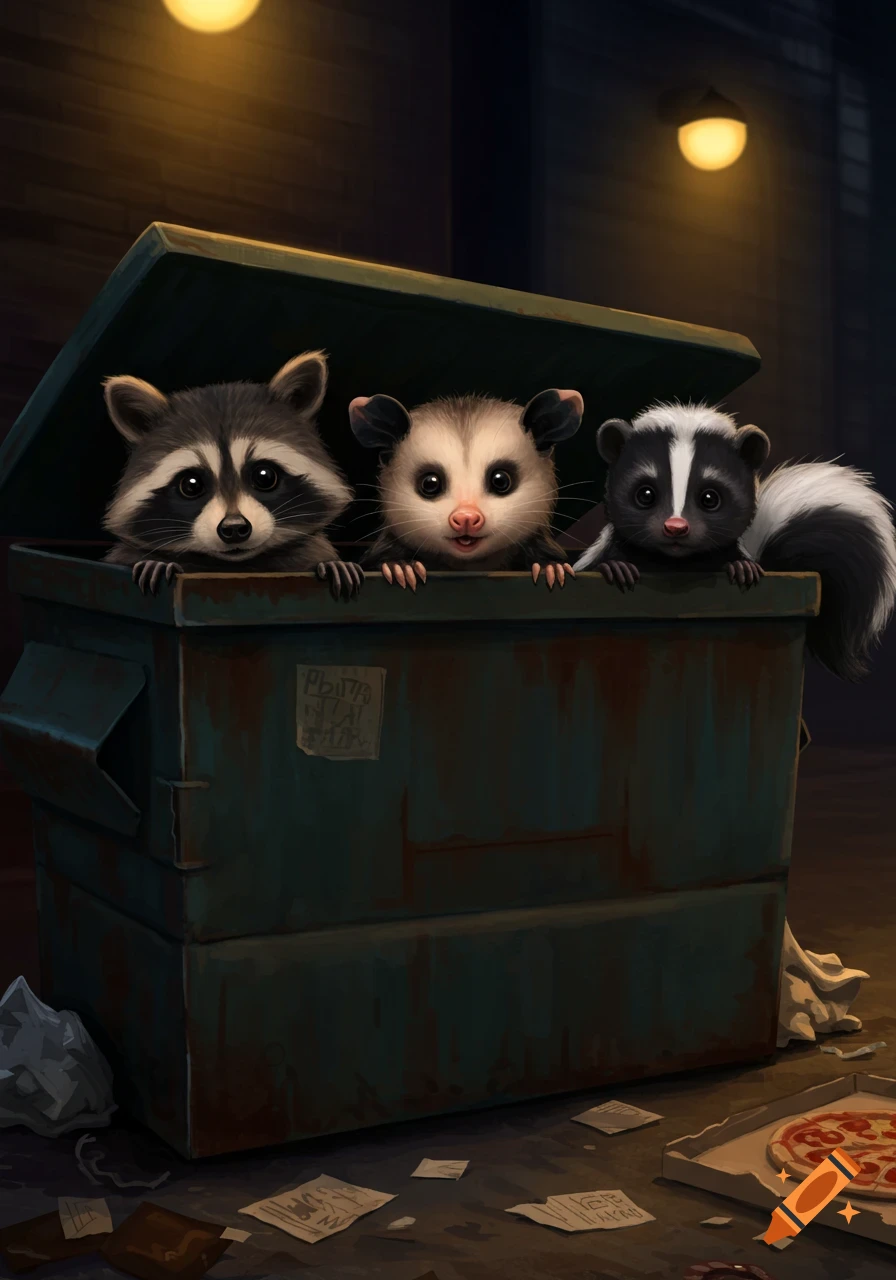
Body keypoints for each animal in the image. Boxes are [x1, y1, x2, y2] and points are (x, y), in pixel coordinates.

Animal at [102, 351, 363, 600]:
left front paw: (333, 565)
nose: (235, 527)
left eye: (265, 476)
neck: (235, 566)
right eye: (191, 484)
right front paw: (157, 562)